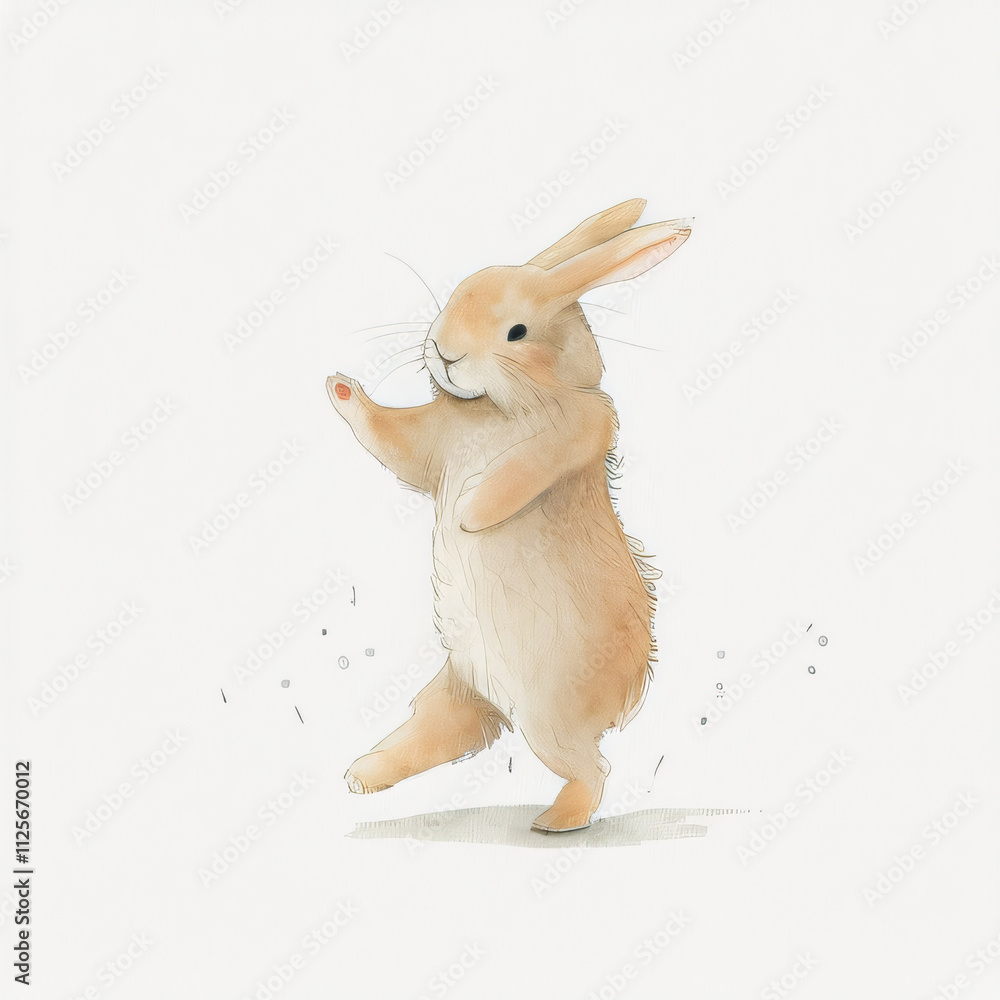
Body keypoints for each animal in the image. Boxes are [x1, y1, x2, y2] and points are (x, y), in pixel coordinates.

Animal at [327, 199, 691, 832]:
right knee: (433, 735)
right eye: (453, 298)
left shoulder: (572, 437)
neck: (500, 406)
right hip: (457, 689)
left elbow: (517, 475)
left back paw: (556, 821)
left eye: (516, 332)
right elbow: (387, 436)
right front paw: (341, 389)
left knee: (593, 770)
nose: (445, 352)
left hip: (547, 721)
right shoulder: (431, 443)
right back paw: (360, 776)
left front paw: (471, 513)